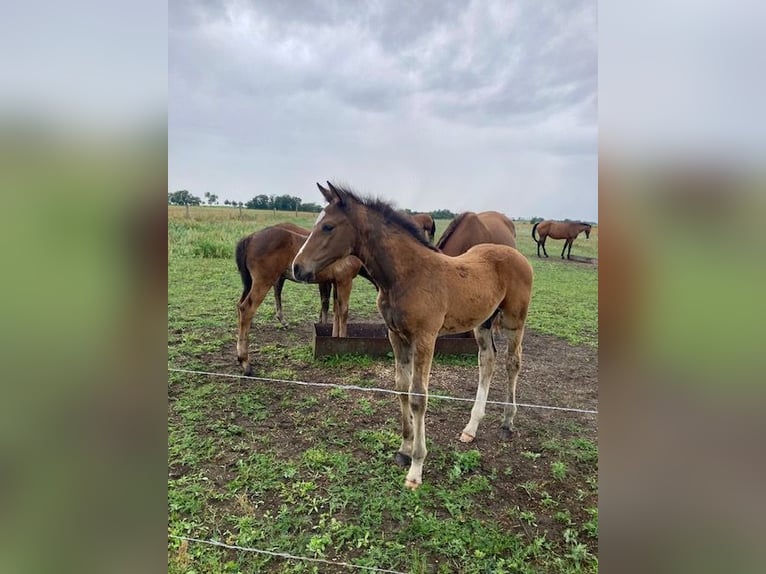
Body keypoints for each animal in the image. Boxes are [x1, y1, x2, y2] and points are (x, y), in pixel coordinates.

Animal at [235, 223, 365, 376]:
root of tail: (251, 237)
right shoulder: (345, 280)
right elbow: (343, 312)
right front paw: (344, 342)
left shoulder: (335, 281)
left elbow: (335, 311)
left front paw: (333, 338)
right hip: (263, 282)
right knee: (246, 309)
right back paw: (245, 361)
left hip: (249, 283)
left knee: (239, 306)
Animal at [293, 182, 533, 490]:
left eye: (328, 226)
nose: (297, 267)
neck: (406, 275)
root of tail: (517, 255)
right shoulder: (396, 336)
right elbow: (401, 388)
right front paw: (404, 450)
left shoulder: (425, 338)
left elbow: (419, 396)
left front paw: (416, 468)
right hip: (483, 323)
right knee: (487, 361)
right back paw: (471, 427)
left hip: (515, 320)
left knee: (512, 363)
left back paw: (507, 423)